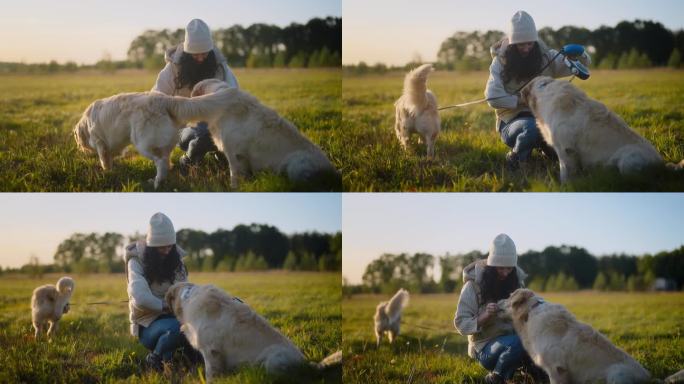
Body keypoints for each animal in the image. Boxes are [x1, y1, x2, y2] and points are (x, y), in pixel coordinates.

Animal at [74, 89, 226, 188]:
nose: (80, 149)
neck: (86, 123)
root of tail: (164, 100)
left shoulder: (100, 143)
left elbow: (104, 160)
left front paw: (107, 172)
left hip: (144, 145)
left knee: (161, 163)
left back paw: (156, 183)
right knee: (166, 162)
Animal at [502, 288, 652, 384]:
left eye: (508, 297)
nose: (497, 301)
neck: (529, 313)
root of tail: (649, 377)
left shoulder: (556, 369)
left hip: (616, 373)